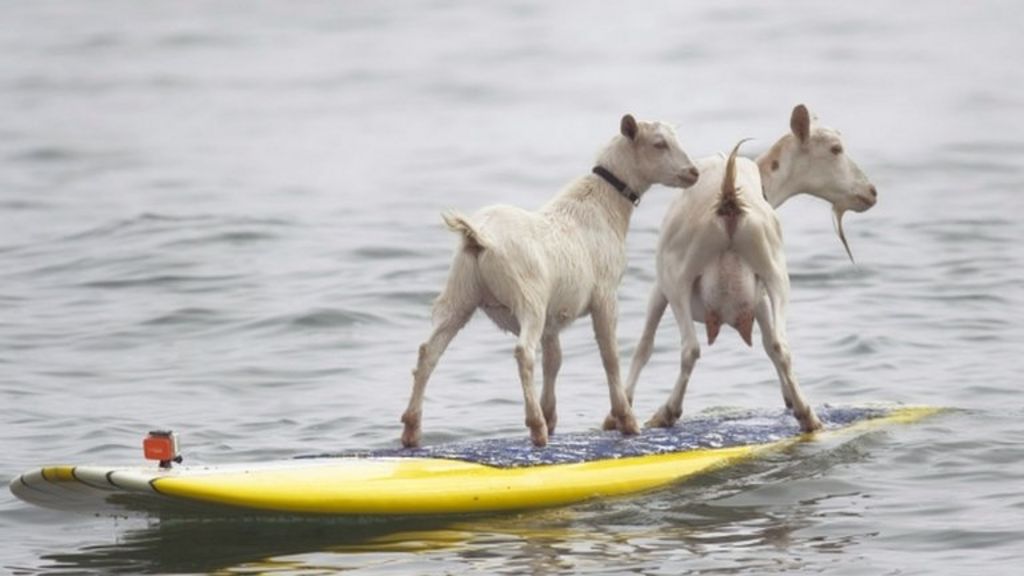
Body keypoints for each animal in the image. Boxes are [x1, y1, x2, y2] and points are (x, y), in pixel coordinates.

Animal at [401, 114, 700, 448]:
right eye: (659, 144)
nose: (693, 172)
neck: (603, 206)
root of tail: (479, 237)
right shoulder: (605, 295)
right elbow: (609, 356)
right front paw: (625, 419)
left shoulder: (554, 314)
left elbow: (554, 360)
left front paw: (552, 415)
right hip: (527, 296)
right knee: (523, 352)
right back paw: (536, 428)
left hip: (460, 293)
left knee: (429, 351)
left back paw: (411, 430)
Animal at [619, 104, 877, 433]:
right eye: (835, 148)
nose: (871, 191)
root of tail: (729, 197)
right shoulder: (760, 295)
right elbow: (769, 343)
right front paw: (789, 398)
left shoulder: (659, 286)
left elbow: (644, 346)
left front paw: (621, 408)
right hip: (774, 270)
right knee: (781, 344)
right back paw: (808, 415)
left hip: (677, 277)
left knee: (690, 349)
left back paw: (667, 412)